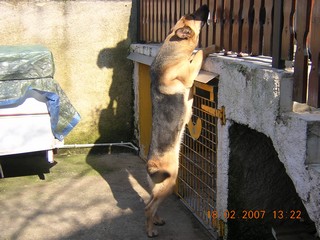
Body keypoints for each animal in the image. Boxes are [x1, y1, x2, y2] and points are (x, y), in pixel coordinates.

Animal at [145, 4, 220, 238]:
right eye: (193, 15)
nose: (205, 5)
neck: (173, 45)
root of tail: (149, 166)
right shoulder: (187, 73)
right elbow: (199, 54)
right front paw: (212, 45)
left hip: (162, 186)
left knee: (150, 202)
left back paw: (157, 220)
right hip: (169, 182)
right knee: (148, 207)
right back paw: (150, 229)